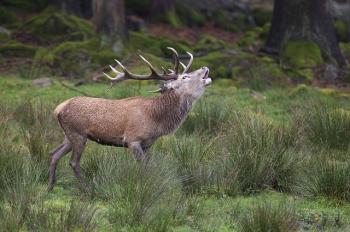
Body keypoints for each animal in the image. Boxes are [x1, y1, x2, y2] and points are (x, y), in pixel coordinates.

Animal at [47, 47, 212, 192]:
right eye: (185, 76)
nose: (204, 67)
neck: (156, 120)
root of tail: (58, 109)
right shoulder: (133, 139)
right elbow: (143, 167)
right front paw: (144, 187)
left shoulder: (148, 144)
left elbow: (149, 166)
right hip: (78, 133)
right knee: (73, 162)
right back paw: (87, 189)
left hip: (68, 135)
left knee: (54, 154)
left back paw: (50, 187)